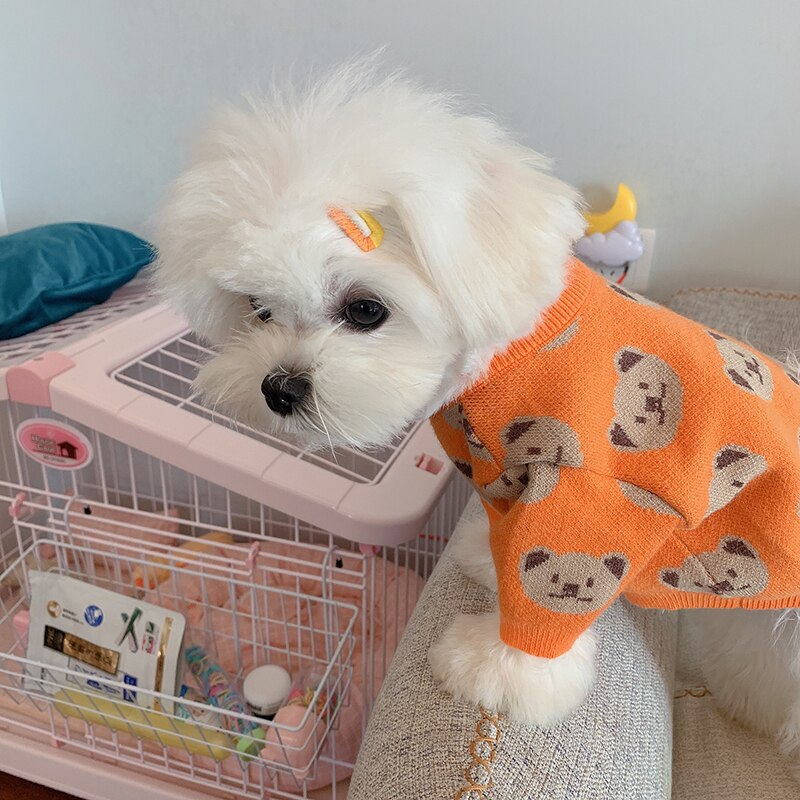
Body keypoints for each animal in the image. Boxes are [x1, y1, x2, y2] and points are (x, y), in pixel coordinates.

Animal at [153, 64, 800, 768]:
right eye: (258, 308)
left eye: (365, 309)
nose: (279, 387)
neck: (514, 355)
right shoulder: (506, 472)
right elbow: (509, 544)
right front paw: (489, 564)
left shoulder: (591, 495)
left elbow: (556, 584)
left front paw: (501, 670)